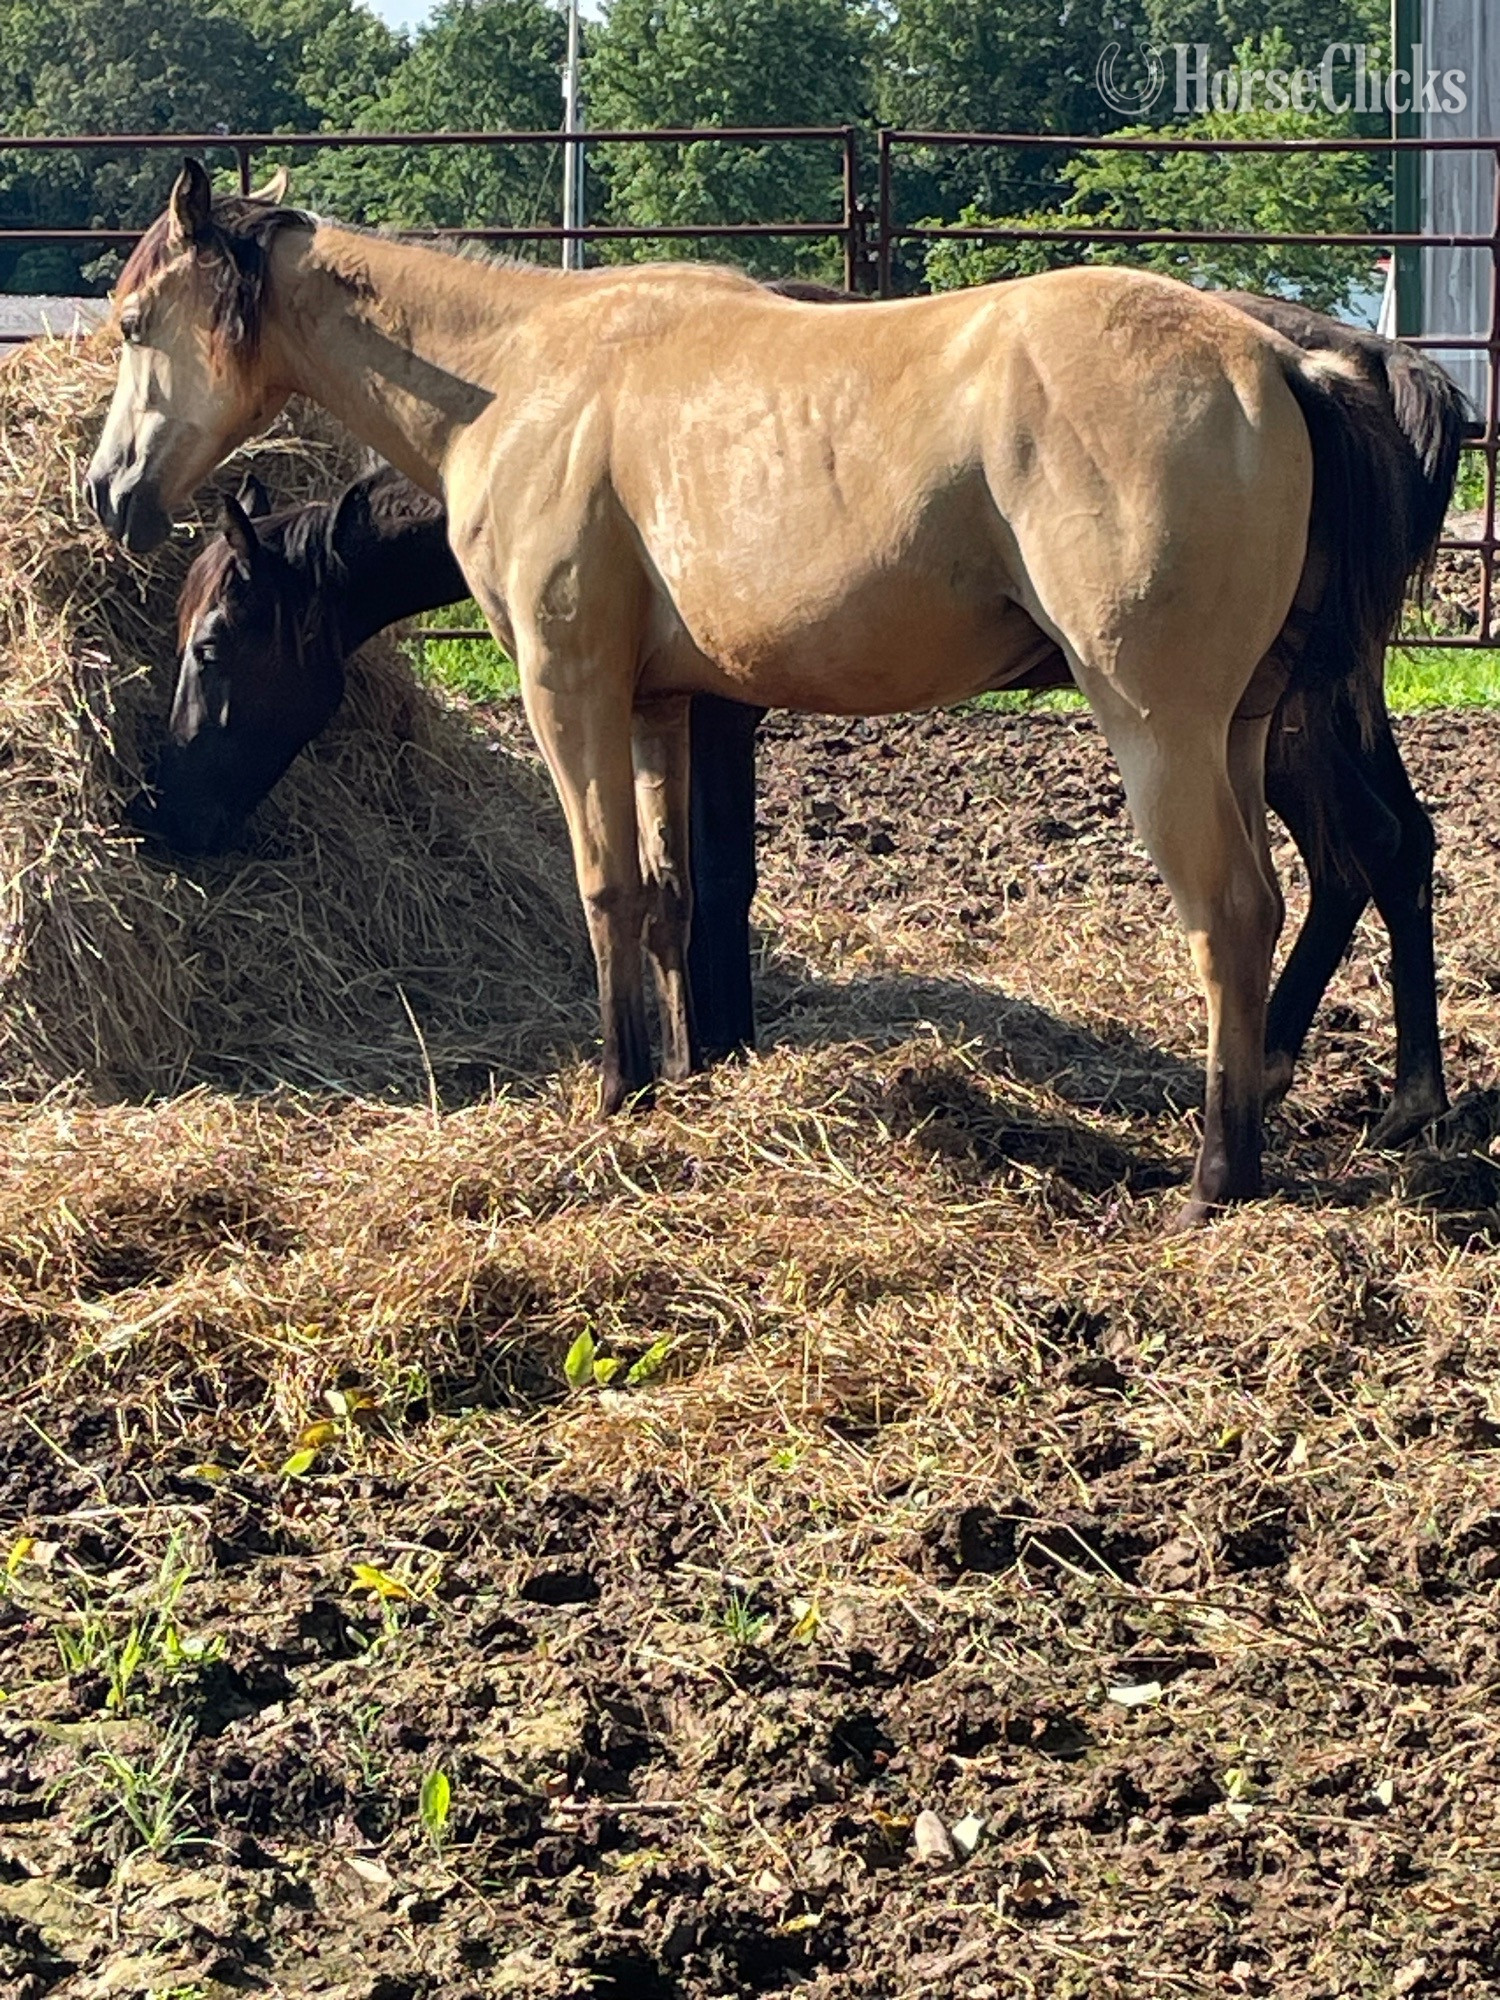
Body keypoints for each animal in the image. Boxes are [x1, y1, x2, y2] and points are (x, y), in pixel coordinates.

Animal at [87, 161, 1428, 1223]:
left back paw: (1218, 1177)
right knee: (1346, 873)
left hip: (1165, 732)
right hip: (1250, 730)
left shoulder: (569, 687)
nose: (106, 491)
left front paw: (620, 1088)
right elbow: (680, 896)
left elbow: (610, 890)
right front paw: (689, 1075)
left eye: (215, 643)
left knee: (1242, 913)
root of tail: (1289, 362)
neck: (521, 378)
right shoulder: (664, 709)